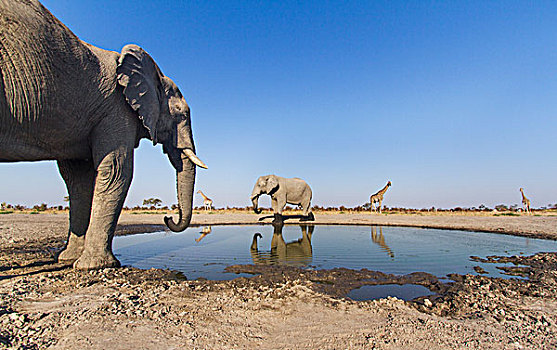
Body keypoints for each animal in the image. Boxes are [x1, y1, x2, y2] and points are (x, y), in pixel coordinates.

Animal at [0, 0, 206, 270]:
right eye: (181, 115)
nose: (167, 217)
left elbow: (78, 179)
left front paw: (71, 260)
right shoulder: (116, 108)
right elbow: (117, 169)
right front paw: (97, 266)